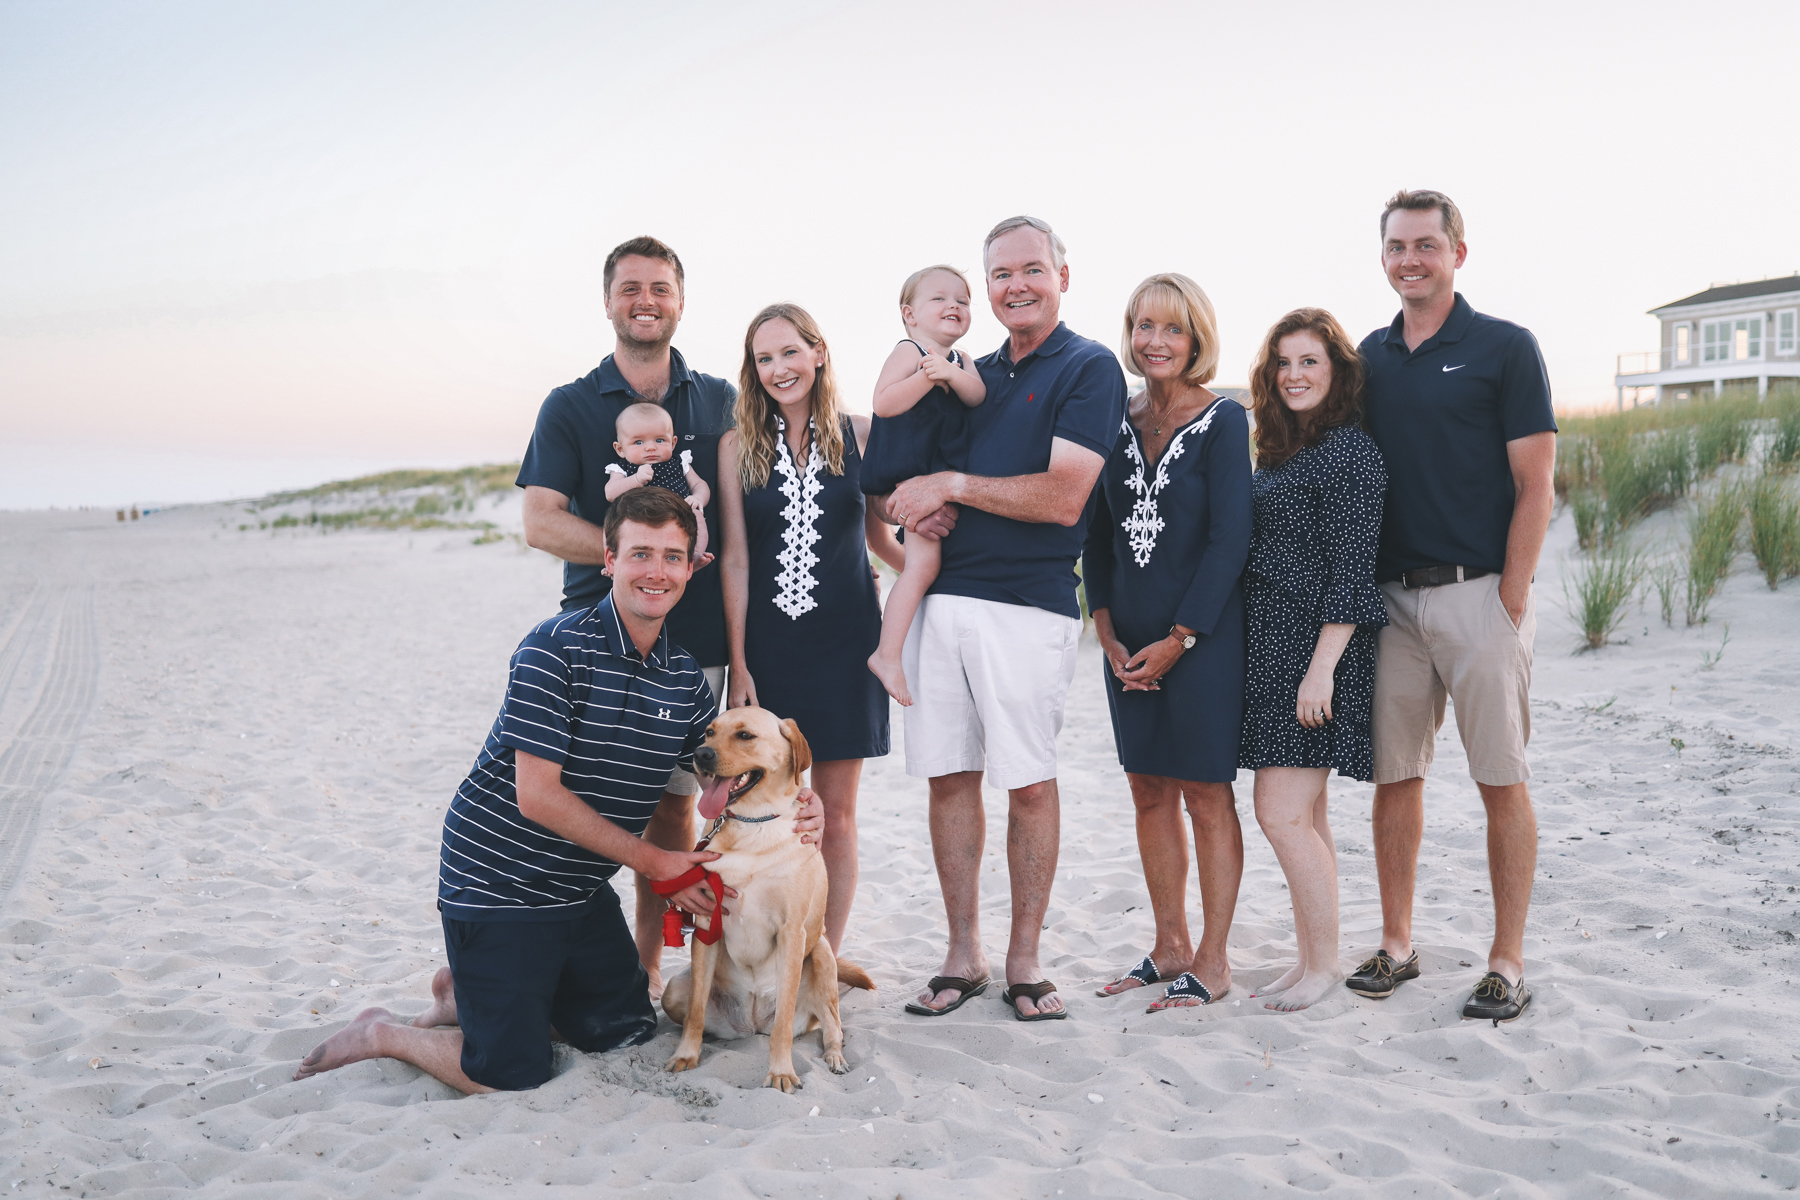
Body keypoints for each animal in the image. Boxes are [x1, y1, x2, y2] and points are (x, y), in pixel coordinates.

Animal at [662, 708, 871, 1093]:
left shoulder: (792, 933)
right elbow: (696, 1013)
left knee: (831, 1026)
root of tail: (753, 1025)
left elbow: (783, 1025)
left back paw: (834, 1057)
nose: (700, 754)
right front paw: (686, 1055)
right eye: (709, 732)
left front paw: (781, 1072)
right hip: (673, 990)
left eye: (745, 736)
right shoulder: (706, 924)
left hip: (821, 954)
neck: (752, 824)